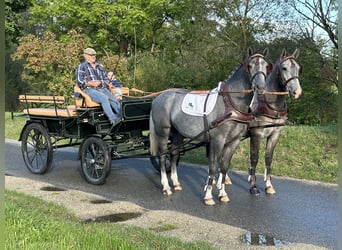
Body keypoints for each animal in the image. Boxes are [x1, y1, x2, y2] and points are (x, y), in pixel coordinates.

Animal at [150, 48, 272, 205]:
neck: (231, 103)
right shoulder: (217, 140)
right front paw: (208, 196)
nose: (260, 87)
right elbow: (213, 167)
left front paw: (222, 194)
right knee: (162, 156)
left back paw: (176, 184)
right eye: (249, 66)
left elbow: (224, 167)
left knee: (174, 153)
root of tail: (158, 97)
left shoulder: (234, 142)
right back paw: (166, 186)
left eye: (266, 65)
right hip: (163, 132)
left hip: (177, 133)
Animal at [247, 47, 304, 194]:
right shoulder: (256, 135)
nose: (297, 92)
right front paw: (253, 186)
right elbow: (254, 158)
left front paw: (268, 185)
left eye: (298, 68)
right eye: (284, 68)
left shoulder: (275, 135)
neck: (271, 104)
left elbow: (268, 158)